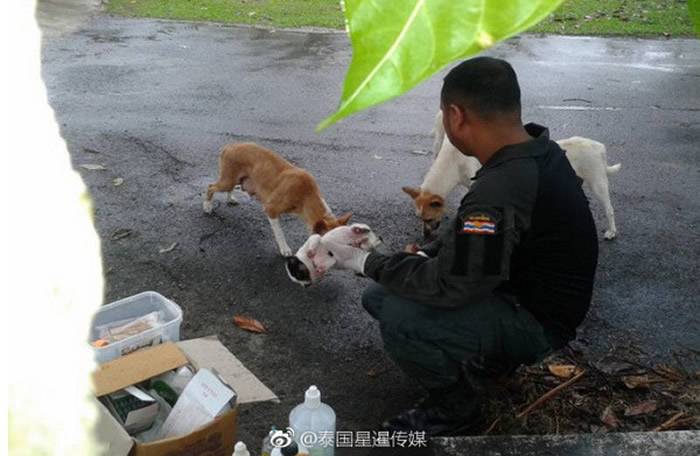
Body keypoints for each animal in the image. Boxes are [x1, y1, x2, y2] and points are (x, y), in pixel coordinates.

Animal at [204, 142, 352, 256]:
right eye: (330, 249)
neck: (307, 195)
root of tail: (231, 145)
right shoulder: (271, 209)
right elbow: (280, 233)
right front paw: (284, 249)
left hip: (235, 180)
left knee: (229, 188)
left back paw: (230, 198)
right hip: (228, 180)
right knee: (211, 187)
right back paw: (207, 206)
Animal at [402, 112, 620, 240]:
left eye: (429, 219)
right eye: (420, 218)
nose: (425, 238)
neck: (452, 161)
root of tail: (599, 147)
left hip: (598, 185)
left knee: (609, 209)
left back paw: (611, 231)